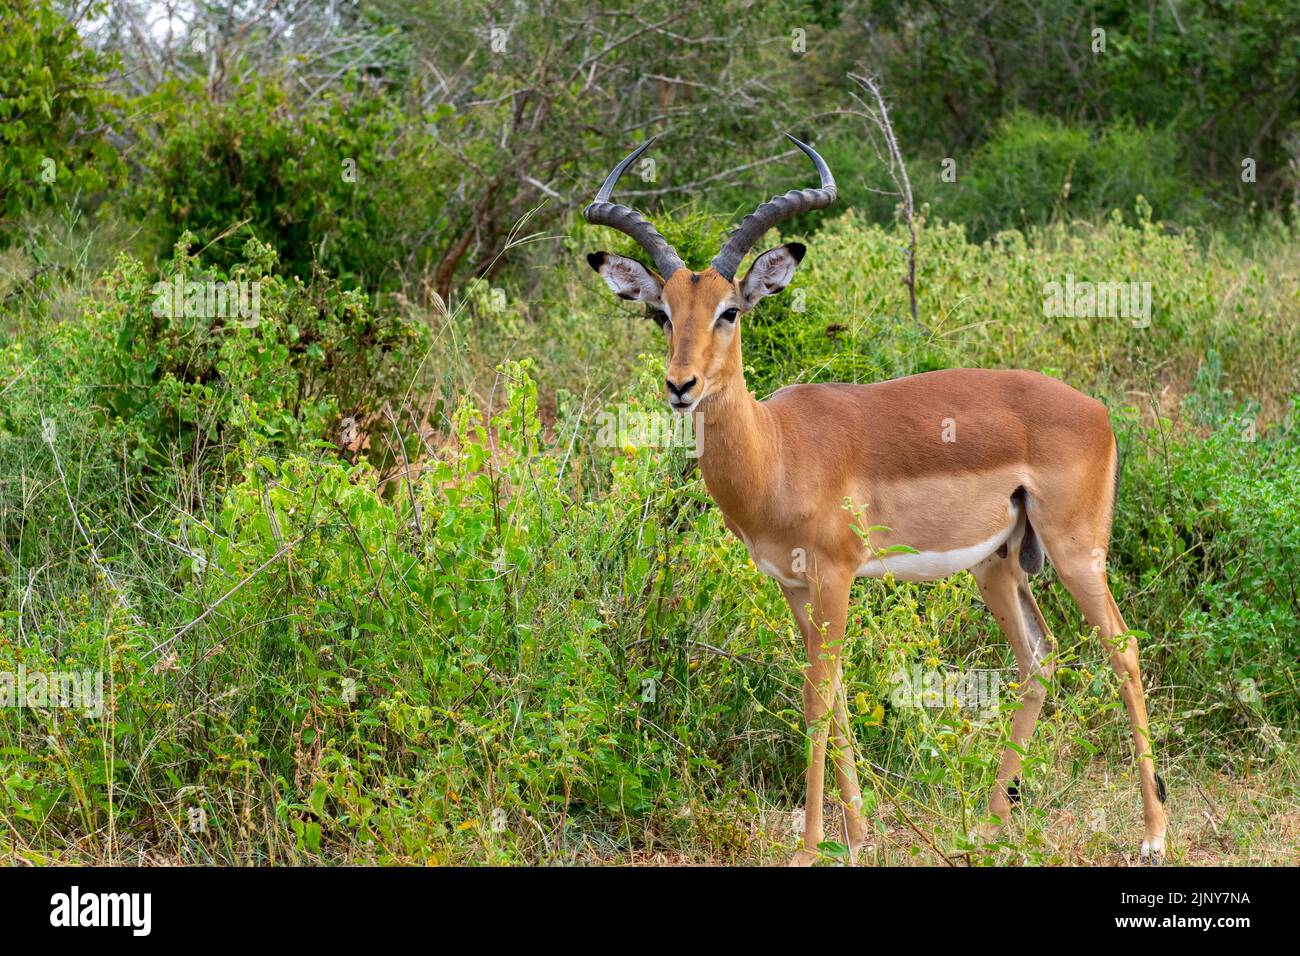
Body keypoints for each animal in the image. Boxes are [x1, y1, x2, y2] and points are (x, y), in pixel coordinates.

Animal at [582, 135, 1166, 866]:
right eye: (662, 312)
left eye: (730, 310)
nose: (680, 385)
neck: (777, 450)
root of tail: (1096, 411)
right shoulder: (793, 586)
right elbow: (832, 696)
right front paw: (859, 836)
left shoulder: (835, 576)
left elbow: (815, 698)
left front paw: (811, 846)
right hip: (1000, 563)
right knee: (1039, 657)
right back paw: (989, 823)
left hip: (1075, 552)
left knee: (1124, 649)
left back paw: (1152, 834)